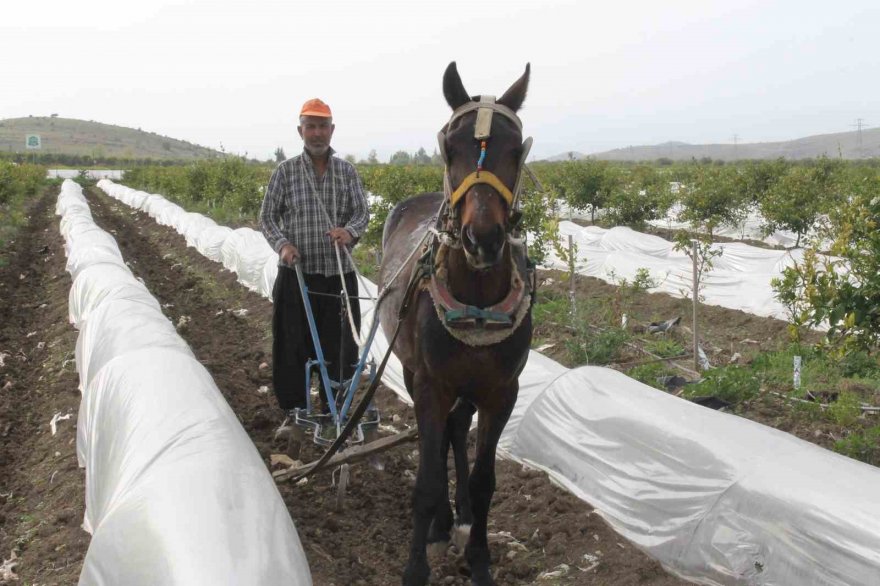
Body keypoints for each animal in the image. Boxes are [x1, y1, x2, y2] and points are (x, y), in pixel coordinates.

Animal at [376, 61, 532, 580]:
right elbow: (425, 480)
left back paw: (459, 514)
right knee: (444, 432)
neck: (477, 301)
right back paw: (444, 521)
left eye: (516, 149)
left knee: (457, 429)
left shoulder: (502, 391)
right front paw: (416, 567)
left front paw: (479, 558)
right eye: (449, 147)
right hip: (410, 369)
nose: (482, 239)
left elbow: (485, 482)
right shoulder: (429, 384)